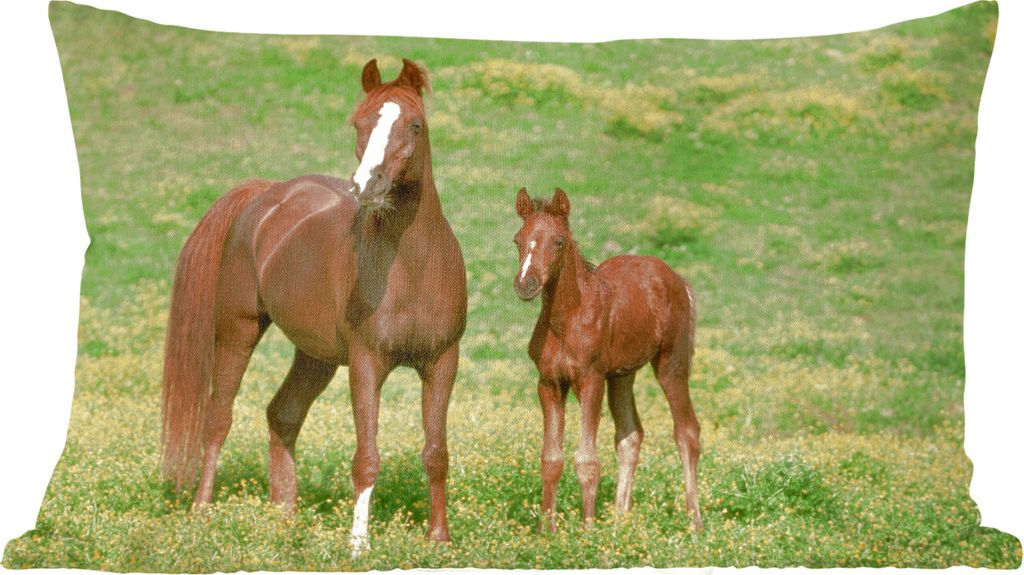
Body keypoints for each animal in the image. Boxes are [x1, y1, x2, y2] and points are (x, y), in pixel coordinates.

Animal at [160, 58, 466, 553]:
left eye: (415, 124)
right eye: (359, 123)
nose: (367, 185)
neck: (414, 268)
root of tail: (265, 194)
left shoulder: (442, 361)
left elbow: (436, 452)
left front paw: (438, 538)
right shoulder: (367, 363)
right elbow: (367, 456)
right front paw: (358, 545)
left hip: (315, 356)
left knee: (282, 414)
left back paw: (283, 517)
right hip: (238, 331)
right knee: (218, 419)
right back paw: (202, 512)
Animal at [512, 187, 703, 532]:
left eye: (558, 241)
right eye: (518, 240)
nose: (525, 283)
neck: (567, 320)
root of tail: (679, 280)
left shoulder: (591, 380)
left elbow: (587, 459)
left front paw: (588, 531)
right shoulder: (549, 383)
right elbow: (551, 459)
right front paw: (547, 532)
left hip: (671, 364)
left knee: (687, 432)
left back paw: (695, 523)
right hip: (622, 374)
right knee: (630, 435)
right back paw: (619, 522)